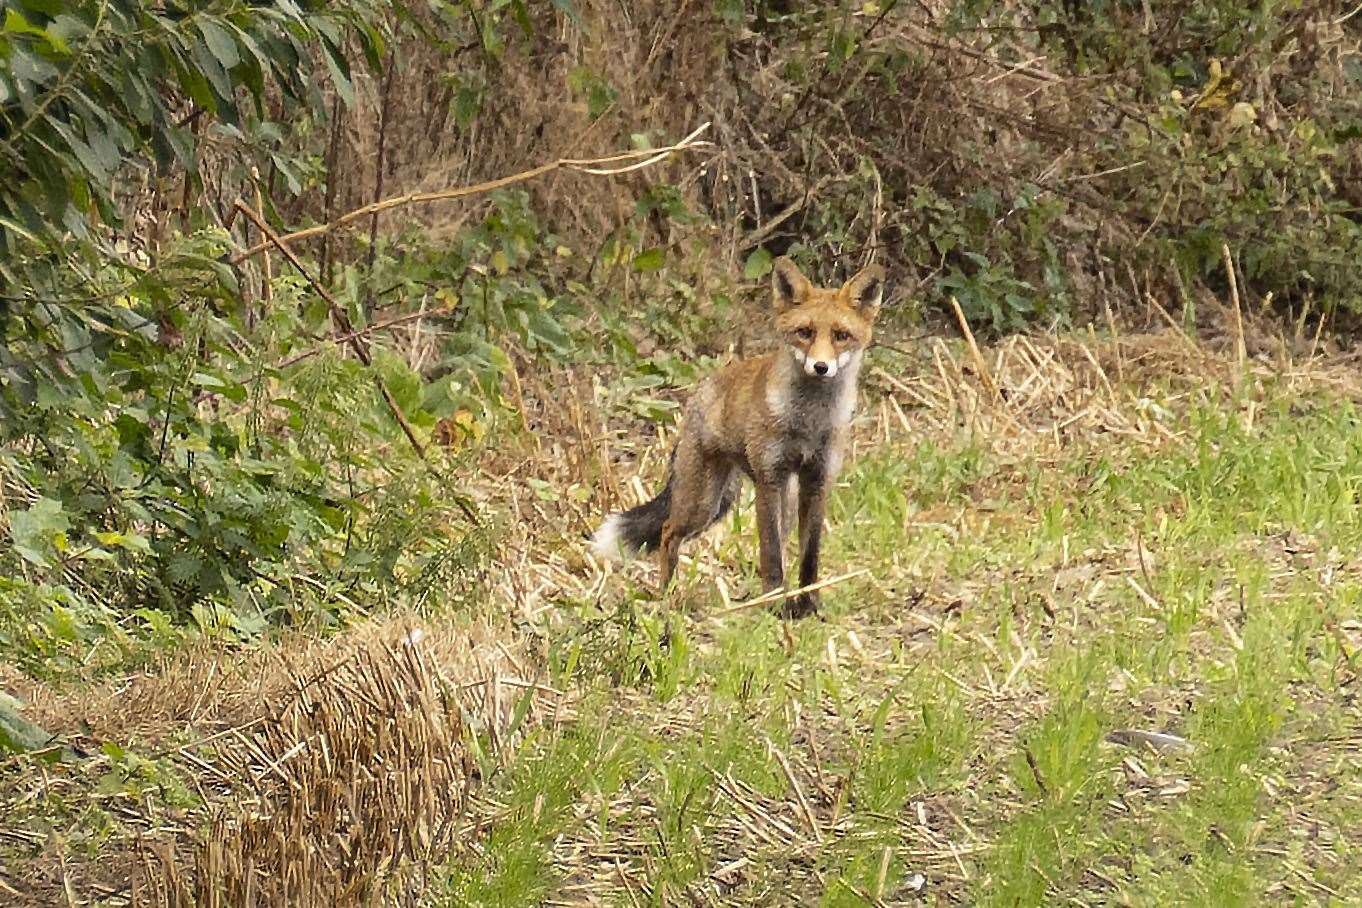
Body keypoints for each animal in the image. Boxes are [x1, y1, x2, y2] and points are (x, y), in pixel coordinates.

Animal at [593, 255, 888, 618]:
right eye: (804, 333)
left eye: (841, 335)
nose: (821, 367)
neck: (808, 424)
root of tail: (700, 393)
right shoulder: (769, 478)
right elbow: (771, 554)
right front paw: (773, 604)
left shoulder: (817, 481)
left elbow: (809, 555)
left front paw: (809, 605)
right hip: (704, 503)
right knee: (667, 533)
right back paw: (668, 596)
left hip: (764, 500)